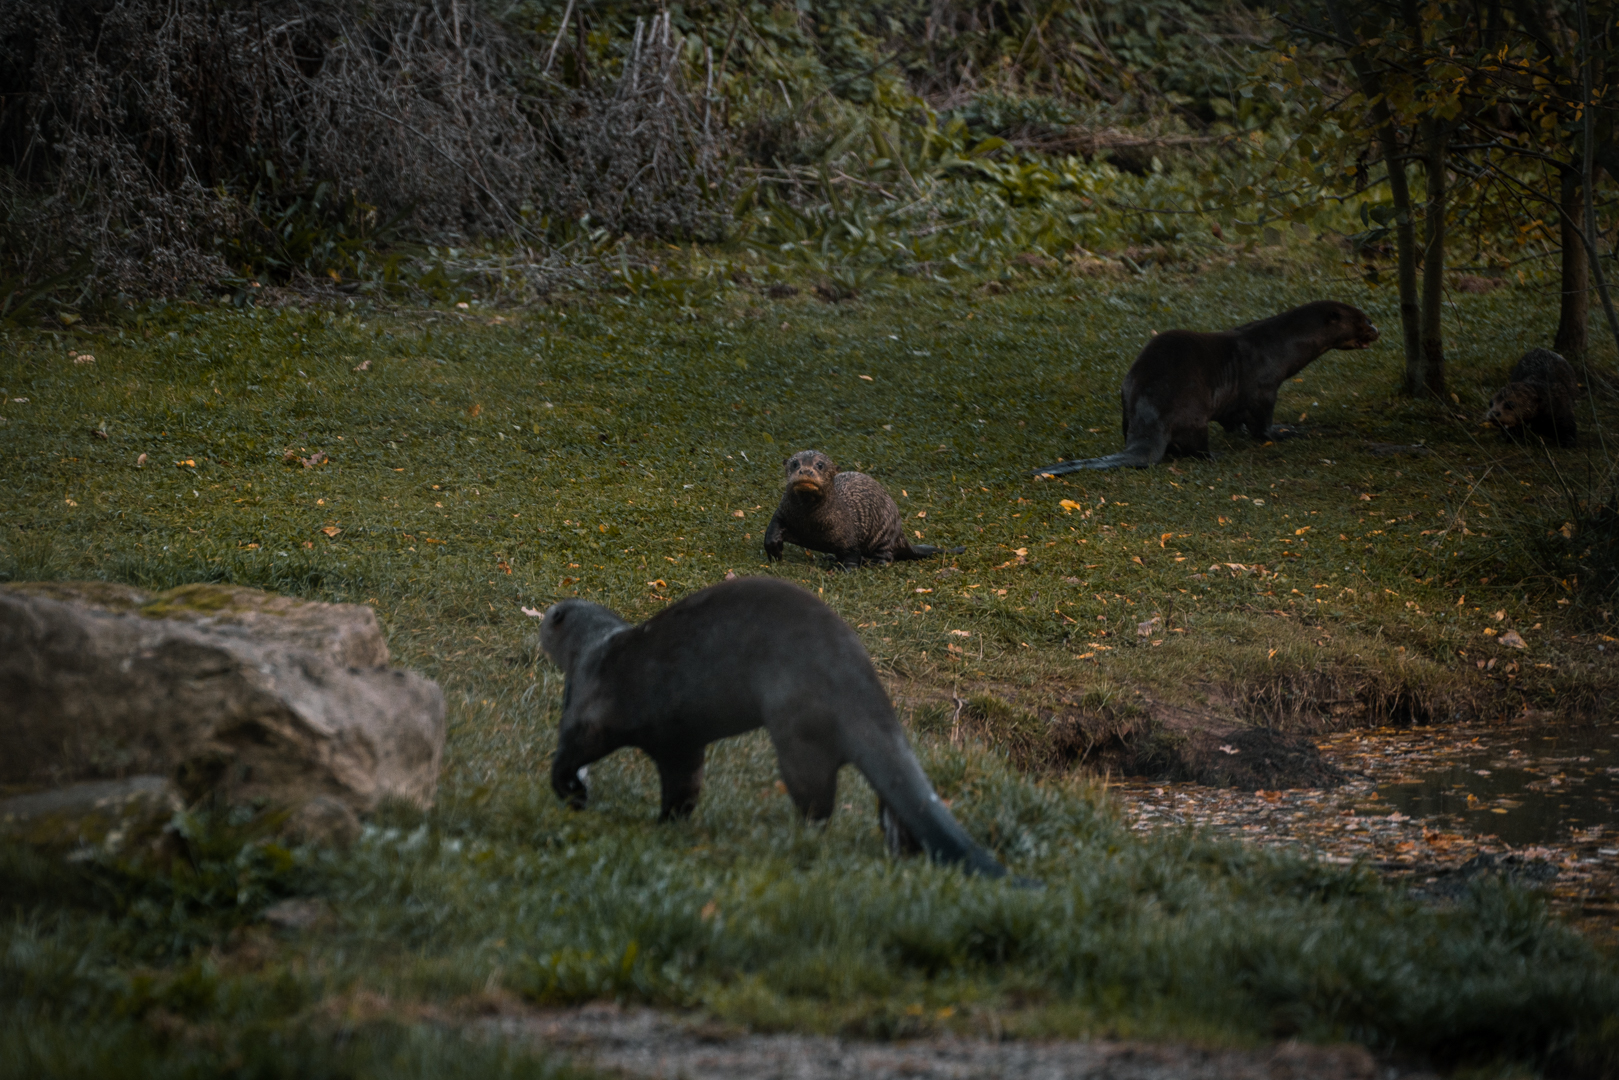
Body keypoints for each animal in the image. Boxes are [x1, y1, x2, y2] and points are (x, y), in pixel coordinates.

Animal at [541, 578, 1014, 880]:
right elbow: (683, 784)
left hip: (796, 732)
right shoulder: (679, 742)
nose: (541, 619)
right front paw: (665, 825)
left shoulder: (591, 708)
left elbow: (571, 752)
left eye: (548, 618)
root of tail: (854, 677)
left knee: (817, 802)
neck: (594, 650)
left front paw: (573, 791)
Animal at [764, 450, 964, 569]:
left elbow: (852, 552)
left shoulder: (848, 533)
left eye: (819, 465)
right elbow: (772, 529)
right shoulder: (783, 513)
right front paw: (775, 549)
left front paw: (847, 569)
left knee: (886, 556)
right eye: (795, 464)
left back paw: (872, 562)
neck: (810, 522)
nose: (806, 471)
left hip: (884, 533)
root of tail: (901, 535)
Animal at [1034, 301, 1380, 474]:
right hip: (1192, 413)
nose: (1377, 330)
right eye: (1364, 318)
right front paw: (1288, 431)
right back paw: (1214, 454)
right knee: (1196, 448)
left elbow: (1235, 421)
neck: (1278, 345)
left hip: (1125, 398)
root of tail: (1149, 420)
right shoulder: (1264, 389)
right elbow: (1262, 427)